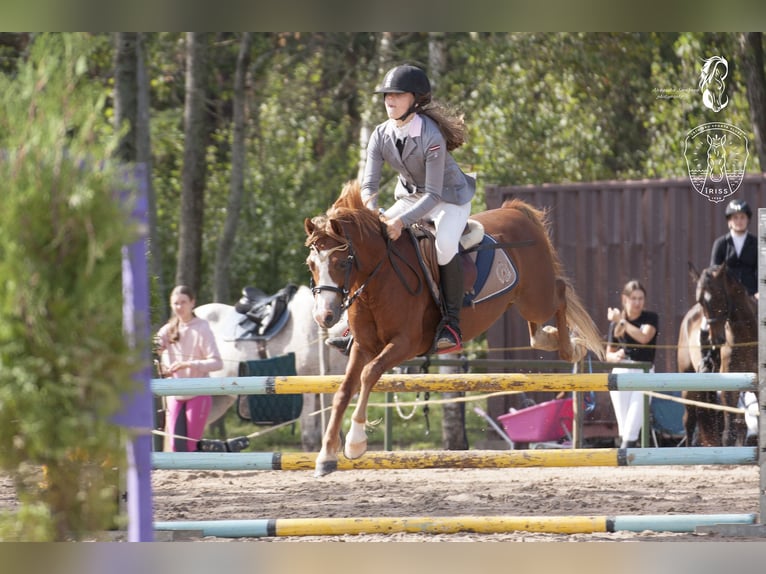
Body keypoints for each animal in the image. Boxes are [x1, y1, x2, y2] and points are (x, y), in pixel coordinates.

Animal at [306, 180, 608, 476]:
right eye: (311, 265)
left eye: (341, 262)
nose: (324, 317)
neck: (379, 280)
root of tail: (515, 211)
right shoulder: (363, 345)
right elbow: (344, 390)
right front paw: (326, 455)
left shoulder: (405, 344)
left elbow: (369, 374)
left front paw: (355, 443)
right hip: (522, 299)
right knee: (537, 328)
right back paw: (550, 338)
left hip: (537, 297)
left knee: (560, 293)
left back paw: (572, 347)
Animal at [680, 264, 760, 448]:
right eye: (700, 301)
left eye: (718, 296)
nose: (716, 340)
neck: (745, 335)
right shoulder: (728, 386)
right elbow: (727, 434)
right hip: (688, 380)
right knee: (689, 420)